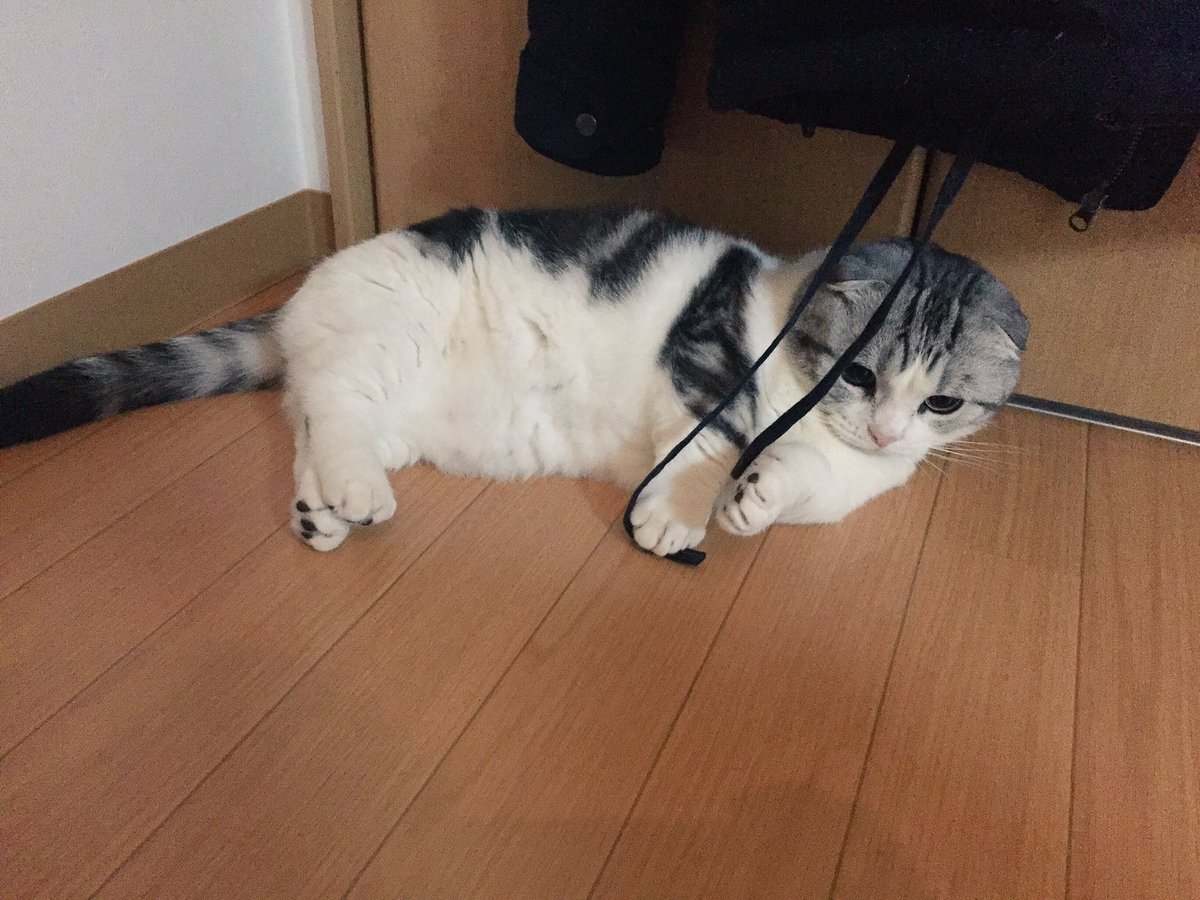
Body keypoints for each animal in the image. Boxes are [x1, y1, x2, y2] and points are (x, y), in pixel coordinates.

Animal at [0, 207, 1027, 557]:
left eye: (941, 403)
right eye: (859, 374)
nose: (886, 430)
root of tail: (300, 301)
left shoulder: (847, 481)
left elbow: (802, 486)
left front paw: (754, 503)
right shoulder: (704, 359)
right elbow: (712, 441)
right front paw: (681, 515)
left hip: (385, 404)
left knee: (310, 427)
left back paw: (321, 511)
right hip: (389, 340)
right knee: (332, 410)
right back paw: (356, 496)